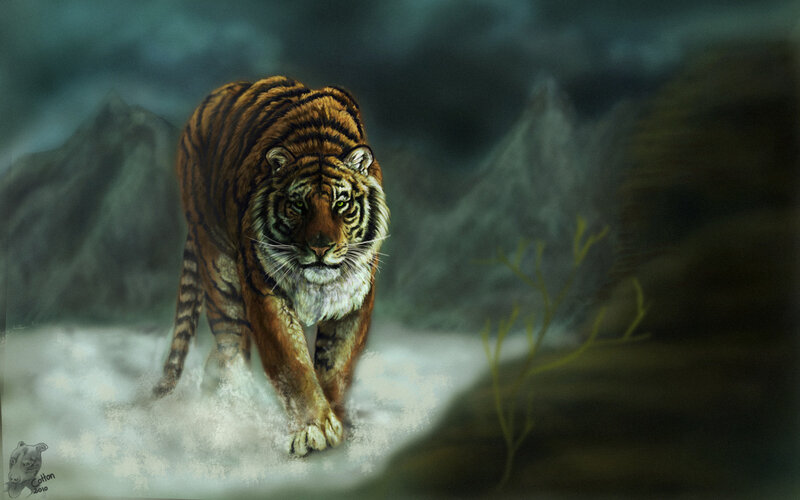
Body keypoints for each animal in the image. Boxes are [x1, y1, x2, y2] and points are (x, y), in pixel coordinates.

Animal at [153, 76, 389, 457]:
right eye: (298, 204)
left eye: (341, 203)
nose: (321, 247)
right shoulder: (264, 288)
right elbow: (292, 362)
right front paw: (313, 428)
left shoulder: (354, 295)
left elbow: (336, 363)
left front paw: (335, 421)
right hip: (219, 268)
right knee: (231, 344)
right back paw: (233, 410)